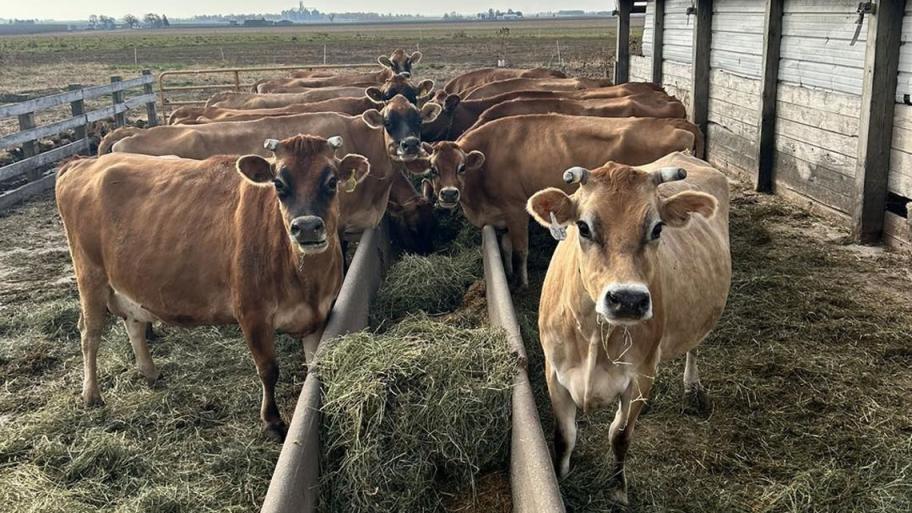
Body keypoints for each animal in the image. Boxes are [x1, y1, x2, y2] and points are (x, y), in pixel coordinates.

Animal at [56, 135, 371, 440]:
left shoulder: (319, 313)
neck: (304, 280)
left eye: (331, 181)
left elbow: (313, 368)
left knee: (133, 323)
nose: (306, 227)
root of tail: (81, 163)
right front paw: (272, 421)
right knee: (89, 332)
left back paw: (150, 372)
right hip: (90, 275)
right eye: (279, 183)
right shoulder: (252, 315)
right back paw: (91, 394)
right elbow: (268, 369)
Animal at [419, 114, 704, 287]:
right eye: (433, 169)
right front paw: (509, 274)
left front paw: (523, 283)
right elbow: (506, 246)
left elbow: (521, 249)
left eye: (461, 168)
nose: (448, 194)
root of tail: (679, 123)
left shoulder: (516, 209)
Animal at [525, 151, 731, 504]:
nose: (628, 299)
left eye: (657, 228)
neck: (594, 335)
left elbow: (619, 436)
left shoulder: (641, 376)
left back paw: (692, 385)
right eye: (583, 227)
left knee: (694, 345)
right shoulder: (554, 372)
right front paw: (561, 480)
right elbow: (564, 435)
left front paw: (618, 490)